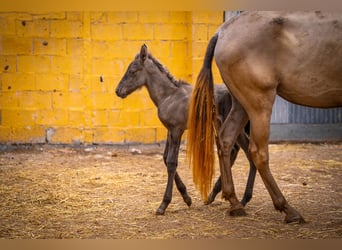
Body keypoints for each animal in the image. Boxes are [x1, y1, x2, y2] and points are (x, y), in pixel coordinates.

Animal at [115, 44, 256, 215]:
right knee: (242, 151)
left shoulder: (177, 130)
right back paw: (233, 198)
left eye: (133, 71)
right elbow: (165, 158)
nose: (118, 91)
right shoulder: (170, 130)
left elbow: (171, 162)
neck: (169, 95)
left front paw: (164, 204)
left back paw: (233, 198)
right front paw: (187, 197)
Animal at [187, 10, 342, 224]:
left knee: (226, 140)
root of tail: (222, 32)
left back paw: (235, 203)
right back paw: (287, 209)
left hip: (241, 105)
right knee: (258, 153)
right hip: (259, 104)